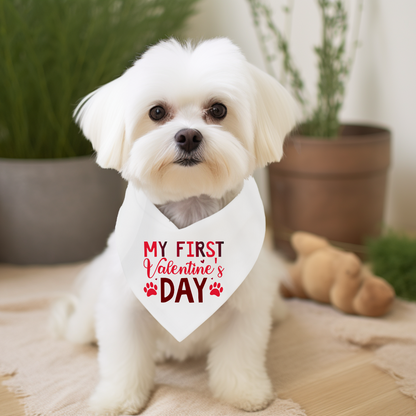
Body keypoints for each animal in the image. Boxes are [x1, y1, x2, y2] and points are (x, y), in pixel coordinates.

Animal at [51, 37, 296, 414]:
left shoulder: (245, 307)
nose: (189, 136)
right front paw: (117, 398)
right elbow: (124, 359)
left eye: (218, 110)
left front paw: (244, 391)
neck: (190, 215)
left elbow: (240, 354)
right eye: (157, 112)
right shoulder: (124, 307)